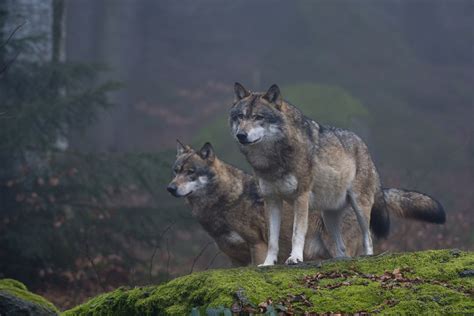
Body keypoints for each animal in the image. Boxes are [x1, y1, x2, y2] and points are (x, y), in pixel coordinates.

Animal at [230, 82, 444, 266]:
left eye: (258, 117)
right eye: (240, 116)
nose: (241, 135)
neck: (272, 159)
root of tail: (364, 146)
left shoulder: (301, 197)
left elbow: (297, 233)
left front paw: (295, 258)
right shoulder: (272, 200)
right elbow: (273, 240)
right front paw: (267, 263)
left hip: (360, 207)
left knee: (368, 239)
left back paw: (367, 257)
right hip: (329, 218)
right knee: (341, 250)